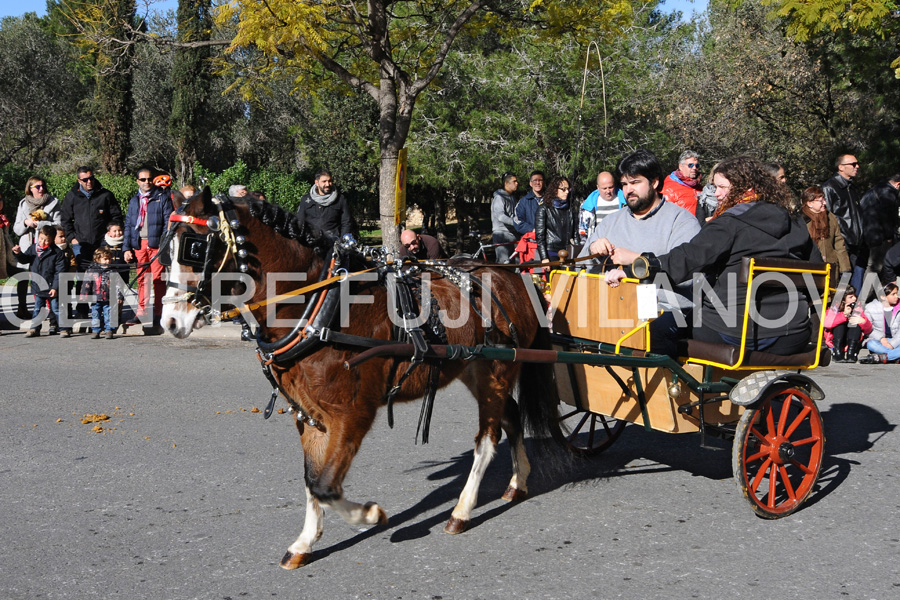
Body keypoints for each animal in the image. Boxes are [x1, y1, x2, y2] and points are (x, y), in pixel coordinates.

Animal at [160, 190, 564, 568]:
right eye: (165, 252)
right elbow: (312, 479)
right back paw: (518, 483)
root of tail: (513, 274)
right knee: (511, 418)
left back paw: (462, 511)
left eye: (194, 247)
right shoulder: (309, 415)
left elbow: (327, 485)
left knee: (487, 440)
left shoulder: (352, 414)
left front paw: (371, 514)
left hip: (497, 372)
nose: (169, 321)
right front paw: (305, 543)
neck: (320, 308)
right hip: (476, 370)